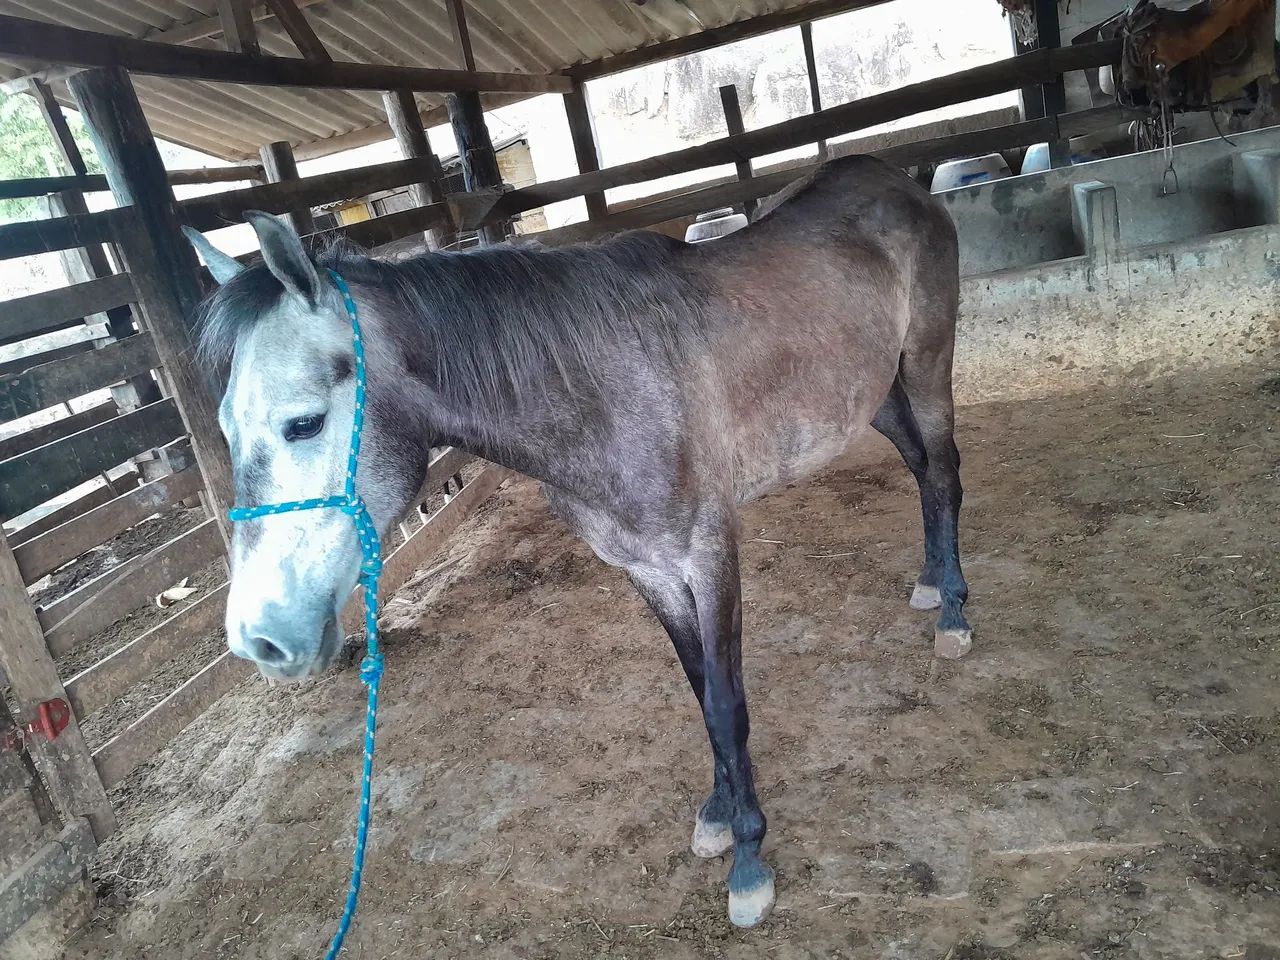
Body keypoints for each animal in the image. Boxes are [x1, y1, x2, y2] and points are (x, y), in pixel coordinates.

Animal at [183, 153, 971, 929]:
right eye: (225, 429)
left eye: (304, 423)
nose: (258, 638)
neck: (602, 390)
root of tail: (896, 179)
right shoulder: (649, 571)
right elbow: (698, 691)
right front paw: (719, 814)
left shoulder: (710, 553)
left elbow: (727, 702)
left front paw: (749, 861)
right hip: (873, 395)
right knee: (918, 468)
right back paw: (931, 583)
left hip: (926, 364)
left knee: (943, 474)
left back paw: (955, 615)